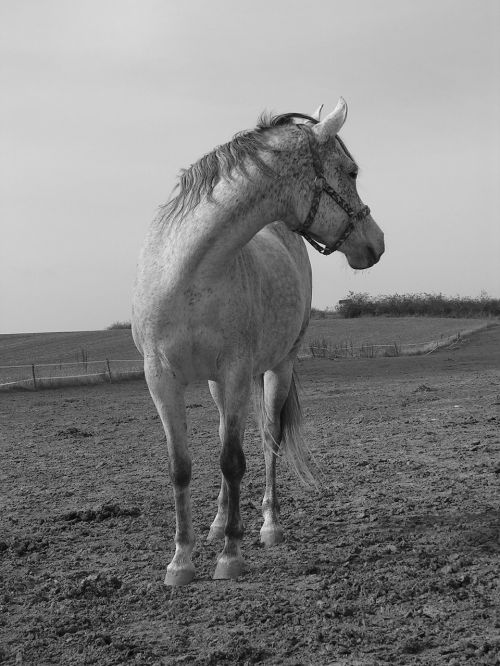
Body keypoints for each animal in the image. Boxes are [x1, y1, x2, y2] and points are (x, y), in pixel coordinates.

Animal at [131, 96, 384, 584]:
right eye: (351, 171)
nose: (376, 243)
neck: (190, 275)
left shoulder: (235, 371)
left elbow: (234, 460)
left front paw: (230, 556)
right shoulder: (161, 379)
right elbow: (182, 466)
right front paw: (182, 560)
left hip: (276, 369)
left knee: (268, 441)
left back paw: (268, 526)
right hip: (216, 385)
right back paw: (216, 523)